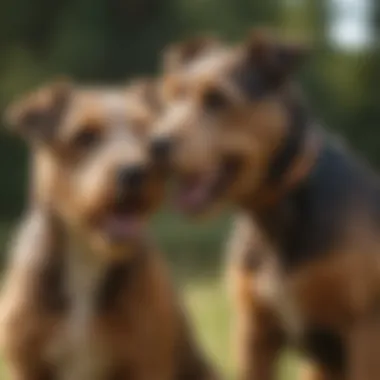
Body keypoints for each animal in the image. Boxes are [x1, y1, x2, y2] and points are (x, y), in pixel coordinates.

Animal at [0, 78, 218, 378]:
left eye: (149, 137)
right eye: (84, 136)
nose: (135, 172)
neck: (89, 257)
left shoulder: (147, 361)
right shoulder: (26, 364)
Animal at [151, 30, 380, 380]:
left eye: (217, 99)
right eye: (172, 96)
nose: (155, 145)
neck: (276, 212)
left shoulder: (364, 331)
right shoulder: (254, 332)